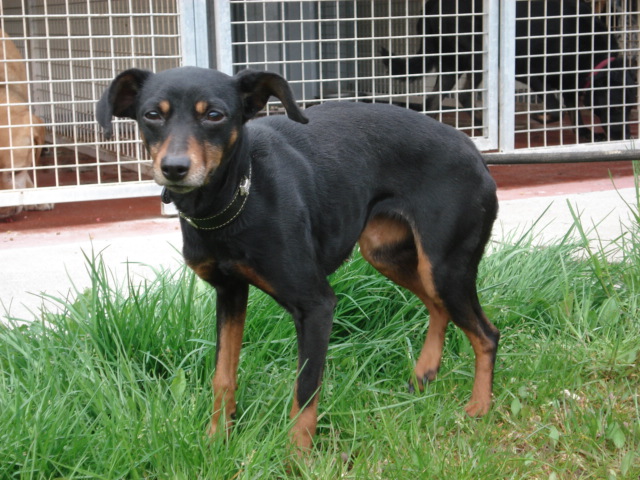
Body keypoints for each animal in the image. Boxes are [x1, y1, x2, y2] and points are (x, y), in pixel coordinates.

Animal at [97, 66, 500, 450]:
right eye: (152, 115)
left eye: (214, 115)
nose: (175, 168)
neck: (239, 193)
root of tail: (474, 151)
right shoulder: (230, 292)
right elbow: (223, 376)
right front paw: (216, 440)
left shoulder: (315, 305)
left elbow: (305, 391)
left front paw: (297, 459)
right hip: (386, 254)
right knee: (439, 307)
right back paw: (425, 372)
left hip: (444, 268)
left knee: (487, 334)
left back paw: (480, 407)